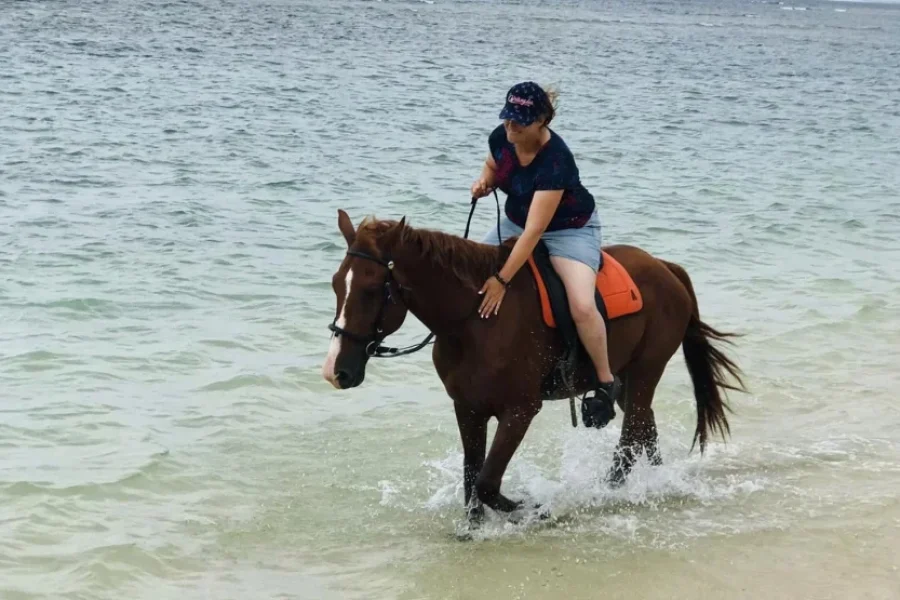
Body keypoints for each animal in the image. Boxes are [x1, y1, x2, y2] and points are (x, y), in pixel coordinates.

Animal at [321, 208, 746, 524]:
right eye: (336, 284)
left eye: (371, 290)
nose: (336, 371)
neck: (475, 320)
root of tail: (665, 268)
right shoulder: (468, 408)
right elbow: (472, 477)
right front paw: (473, 529)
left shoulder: (520, 410)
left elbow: (487, 482)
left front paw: (536, 509)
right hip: (628, 379)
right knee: (644, 431)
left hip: (645, 372)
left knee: (629, 441)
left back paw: (607, 493)